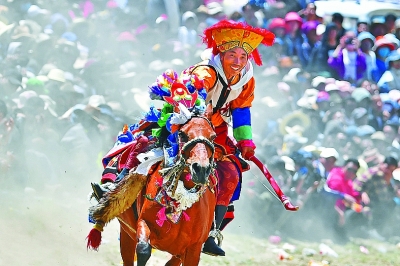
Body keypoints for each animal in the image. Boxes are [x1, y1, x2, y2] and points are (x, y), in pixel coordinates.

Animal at [88, 103, 217, 264]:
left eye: (213, 136)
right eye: (182, 134)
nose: (201, 169)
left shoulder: (193, 250)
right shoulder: (143, 224)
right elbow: (143, 250)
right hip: (126, 233)